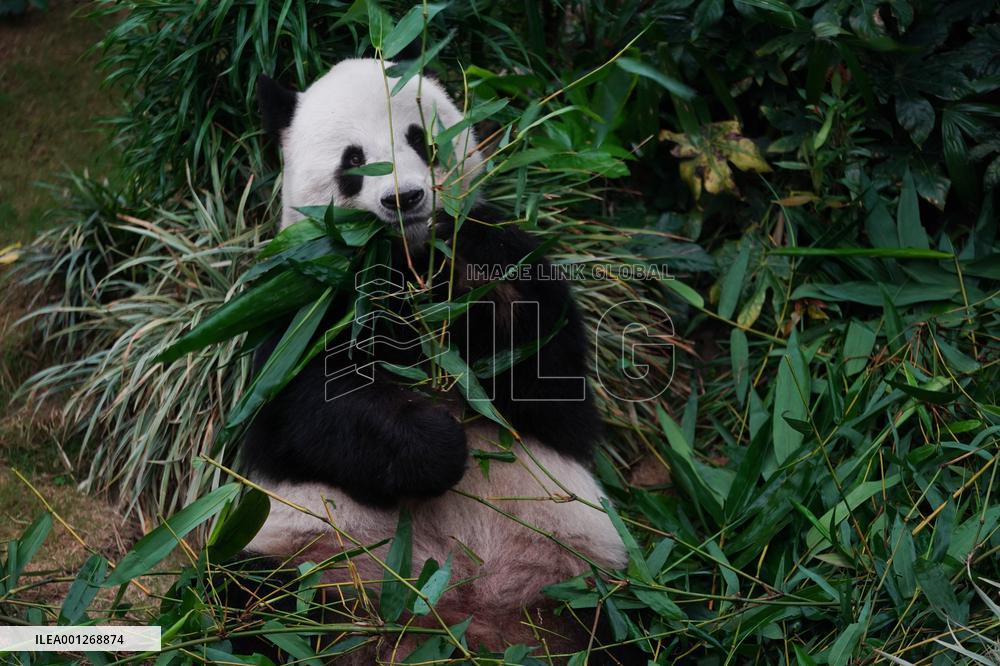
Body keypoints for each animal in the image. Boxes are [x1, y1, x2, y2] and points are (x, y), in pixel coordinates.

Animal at [243, 59, 628, 662]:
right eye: (353, 161)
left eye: (421, 140)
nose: (404, 198)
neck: (408, 261)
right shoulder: (301, 301)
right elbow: (300, 414)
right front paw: (438, 446)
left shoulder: (514, 259)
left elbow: (557, 395)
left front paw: (472, 283)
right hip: (308, 561)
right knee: (250, 607)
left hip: (583, 578)